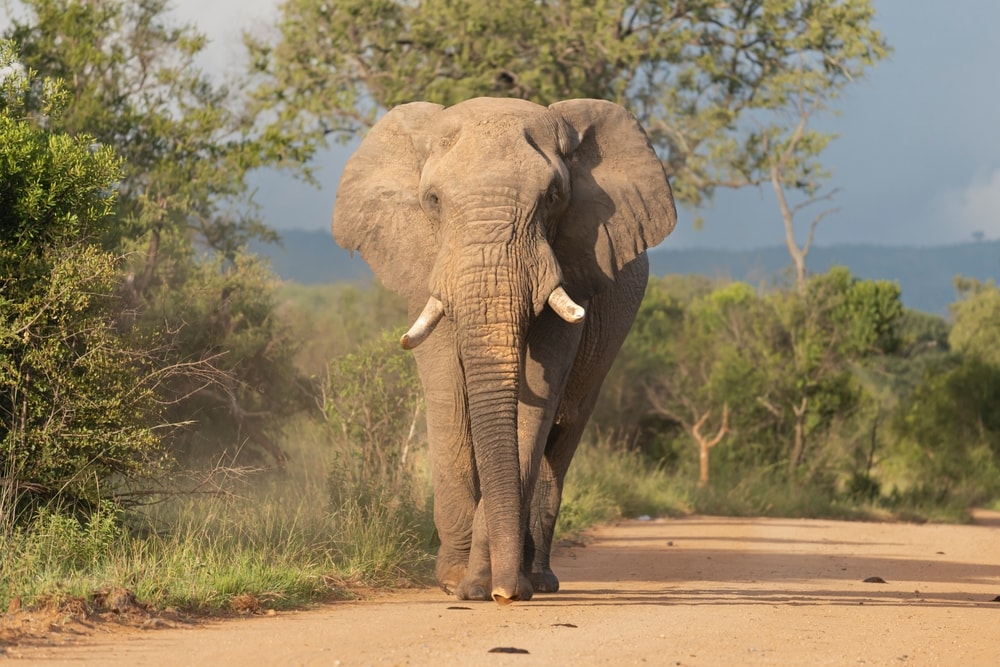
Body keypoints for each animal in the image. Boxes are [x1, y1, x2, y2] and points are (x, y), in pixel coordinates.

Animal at [332, 97, 676, 604]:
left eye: (553, 196)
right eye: (432, 201)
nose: (500, 594)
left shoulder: (572, 267)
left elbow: (533, 406)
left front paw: (485, 584)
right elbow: (450, 398)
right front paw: (456, 582)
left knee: (562, 438)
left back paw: (539, 579)